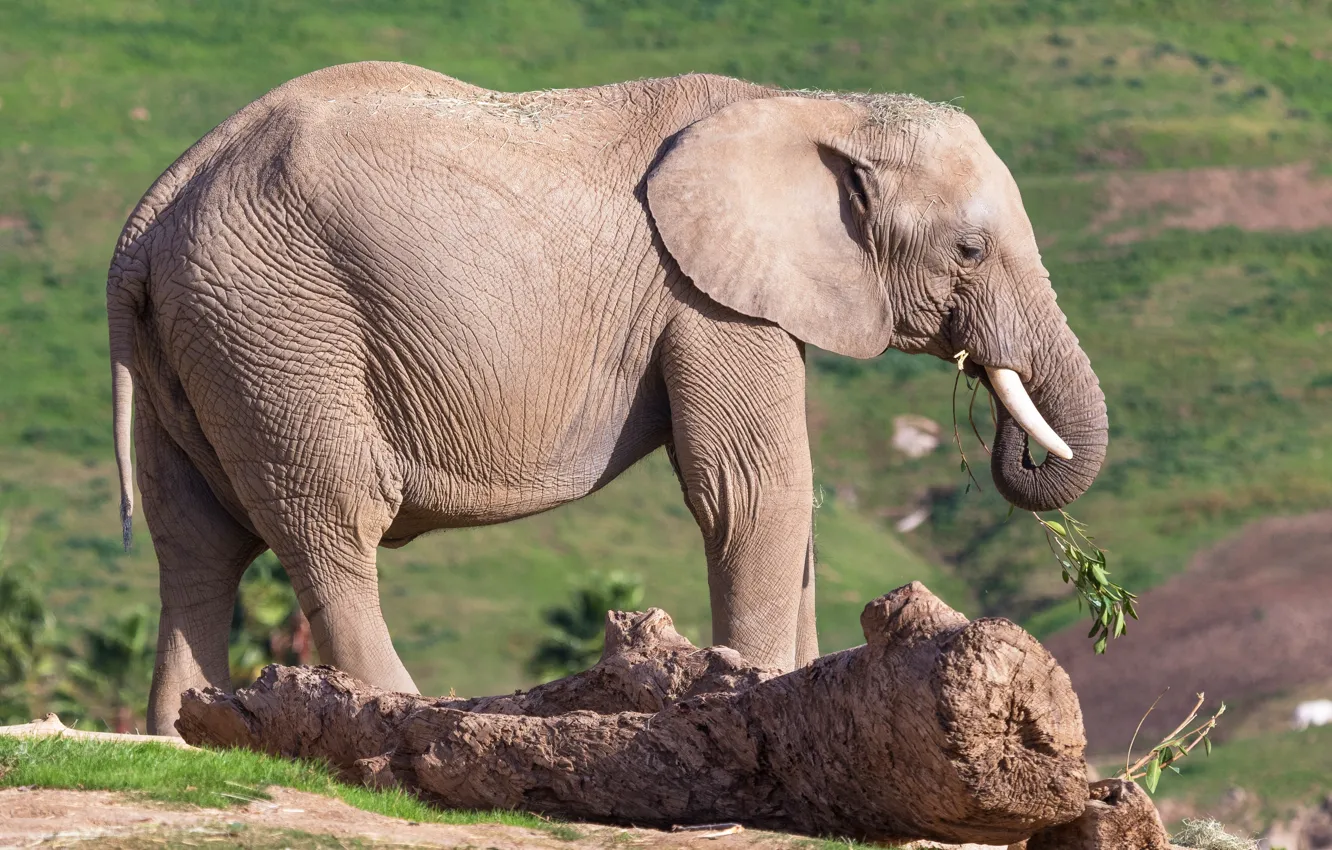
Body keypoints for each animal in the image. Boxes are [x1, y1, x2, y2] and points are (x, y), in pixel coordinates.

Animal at [105, 62, 1108, 734]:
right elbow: (751, 490)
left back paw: (182, 735)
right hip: (279, 329)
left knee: (194, 542)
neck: (810, 104)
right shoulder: (702, 297)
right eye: (970, 250)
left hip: (207, 336)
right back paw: (392, 715)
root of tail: (148, 216)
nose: (1003, 434)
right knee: (331, 523)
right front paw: (749, 694)